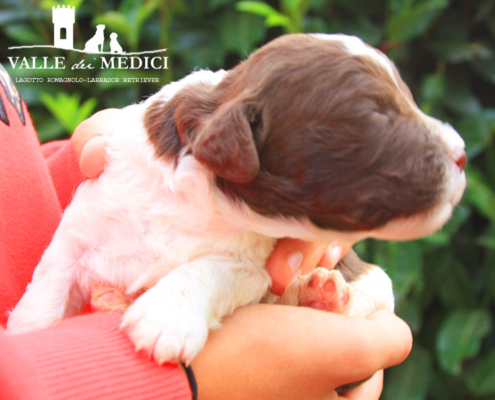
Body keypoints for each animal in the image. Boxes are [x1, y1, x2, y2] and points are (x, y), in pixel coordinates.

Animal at [6, 34, 464, 366]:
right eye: (375, 116)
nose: (462, 154)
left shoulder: (249, 264)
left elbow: (205, 269)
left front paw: (166, 316)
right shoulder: (83, 227)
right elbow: (45, 293)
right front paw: (24, 335)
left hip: (372, 283)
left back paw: (323, 293)